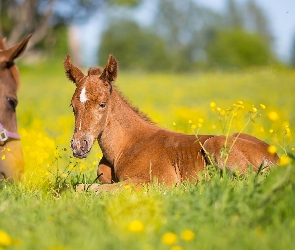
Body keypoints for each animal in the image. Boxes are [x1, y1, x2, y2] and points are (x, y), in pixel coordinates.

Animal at [65, 53, 280, 192]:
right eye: (72, 106)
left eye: (102, 104)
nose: (78, 145)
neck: (124, 147)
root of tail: (277, 157)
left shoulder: (158, 180)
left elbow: (89, 189)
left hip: (215, 144)